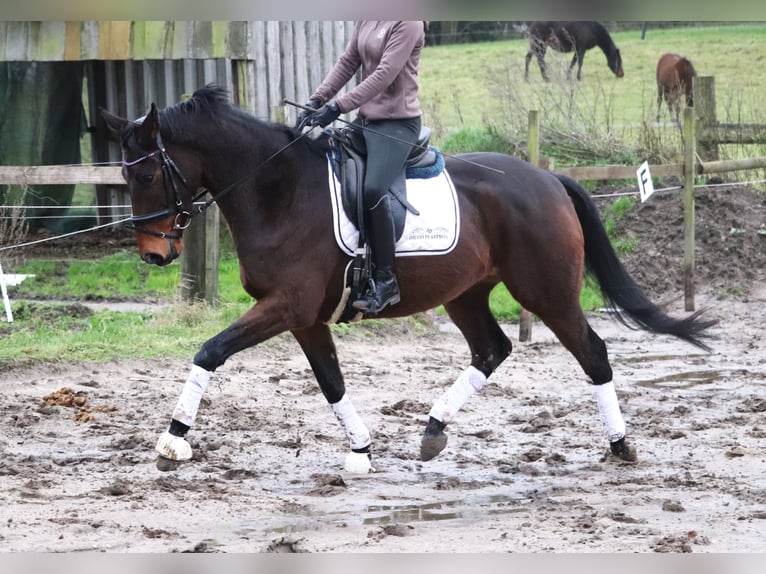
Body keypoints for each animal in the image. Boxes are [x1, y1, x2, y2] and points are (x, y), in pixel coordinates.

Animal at [99, 83, 716, 474]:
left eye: (148, 174)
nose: (153, 254)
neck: (277, 190)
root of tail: (546, 179)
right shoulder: (304, 318)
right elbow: (331, 382)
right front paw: (361, 453)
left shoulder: (285, 307)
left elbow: (210, 351)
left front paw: (172, 441)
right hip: (466, 293)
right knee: (491, 349)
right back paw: (433, 429)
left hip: (547, 293)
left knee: (593, 352)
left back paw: (620, 446)